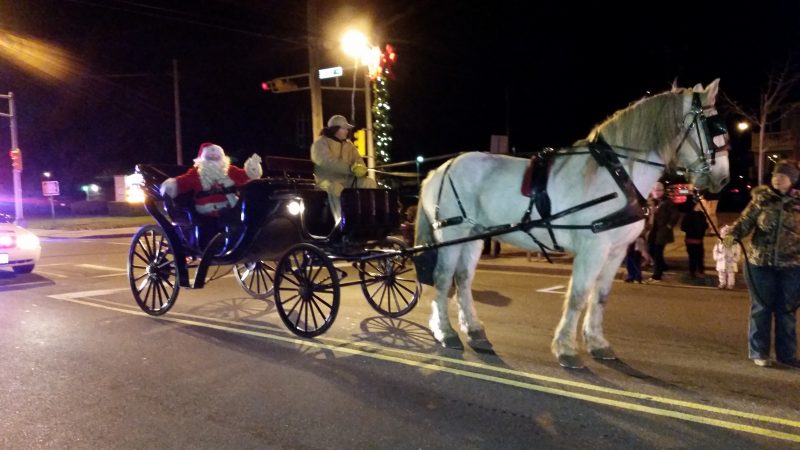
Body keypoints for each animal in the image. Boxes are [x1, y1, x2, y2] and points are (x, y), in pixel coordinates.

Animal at [416, 79, 728, 368]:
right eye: (713, 129)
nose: (722, 180)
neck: (617, 174)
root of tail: (439, 170)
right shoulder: (593, 248)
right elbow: (578, 296)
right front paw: (566, 349)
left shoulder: (617, 251)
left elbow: (600, 297)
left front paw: (598, 343)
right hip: (451, 233)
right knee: (443, 278)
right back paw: (446, 332)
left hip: (475, 235)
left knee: (463, 279)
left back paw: (474, 330)